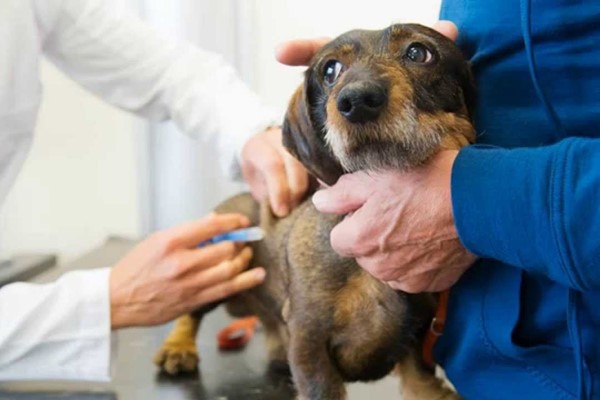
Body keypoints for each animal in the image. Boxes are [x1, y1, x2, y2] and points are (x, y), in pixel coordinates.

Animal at [154, 23, 474, 398]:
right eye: (331, 70)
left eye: (418, 52)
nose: (357, 101)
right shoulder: (309, 339)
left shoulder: (416, 339)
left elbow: (421, 384)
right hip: (222, 264)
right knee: (192, 312)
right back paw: (178, 348)